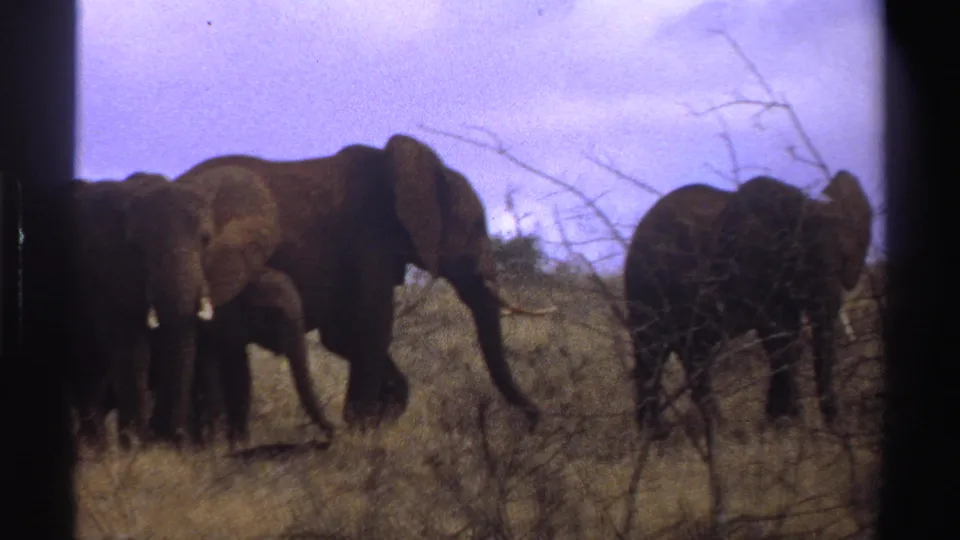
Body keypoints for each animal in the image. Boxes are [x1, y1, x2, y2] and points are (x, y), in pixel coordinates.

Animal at [173, 133, 556, 435]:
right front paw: (362, 429)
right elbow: (369, 328)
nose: (534, 423)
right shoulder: (367, 242)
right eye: (475, 226)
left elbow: (342, 336)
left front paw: (380, 417)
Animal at [624, 171, 873, 439]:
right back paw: (665, 435)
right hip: (645, 285)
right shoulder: (754, 271)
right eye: (799, 259)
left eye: (845, 260)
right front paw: (788, 422)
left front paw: (780, 420)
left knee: (692, 353)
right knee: (653, 350)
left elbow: (790, 338)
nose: (837, 427)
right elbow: (779, 338)